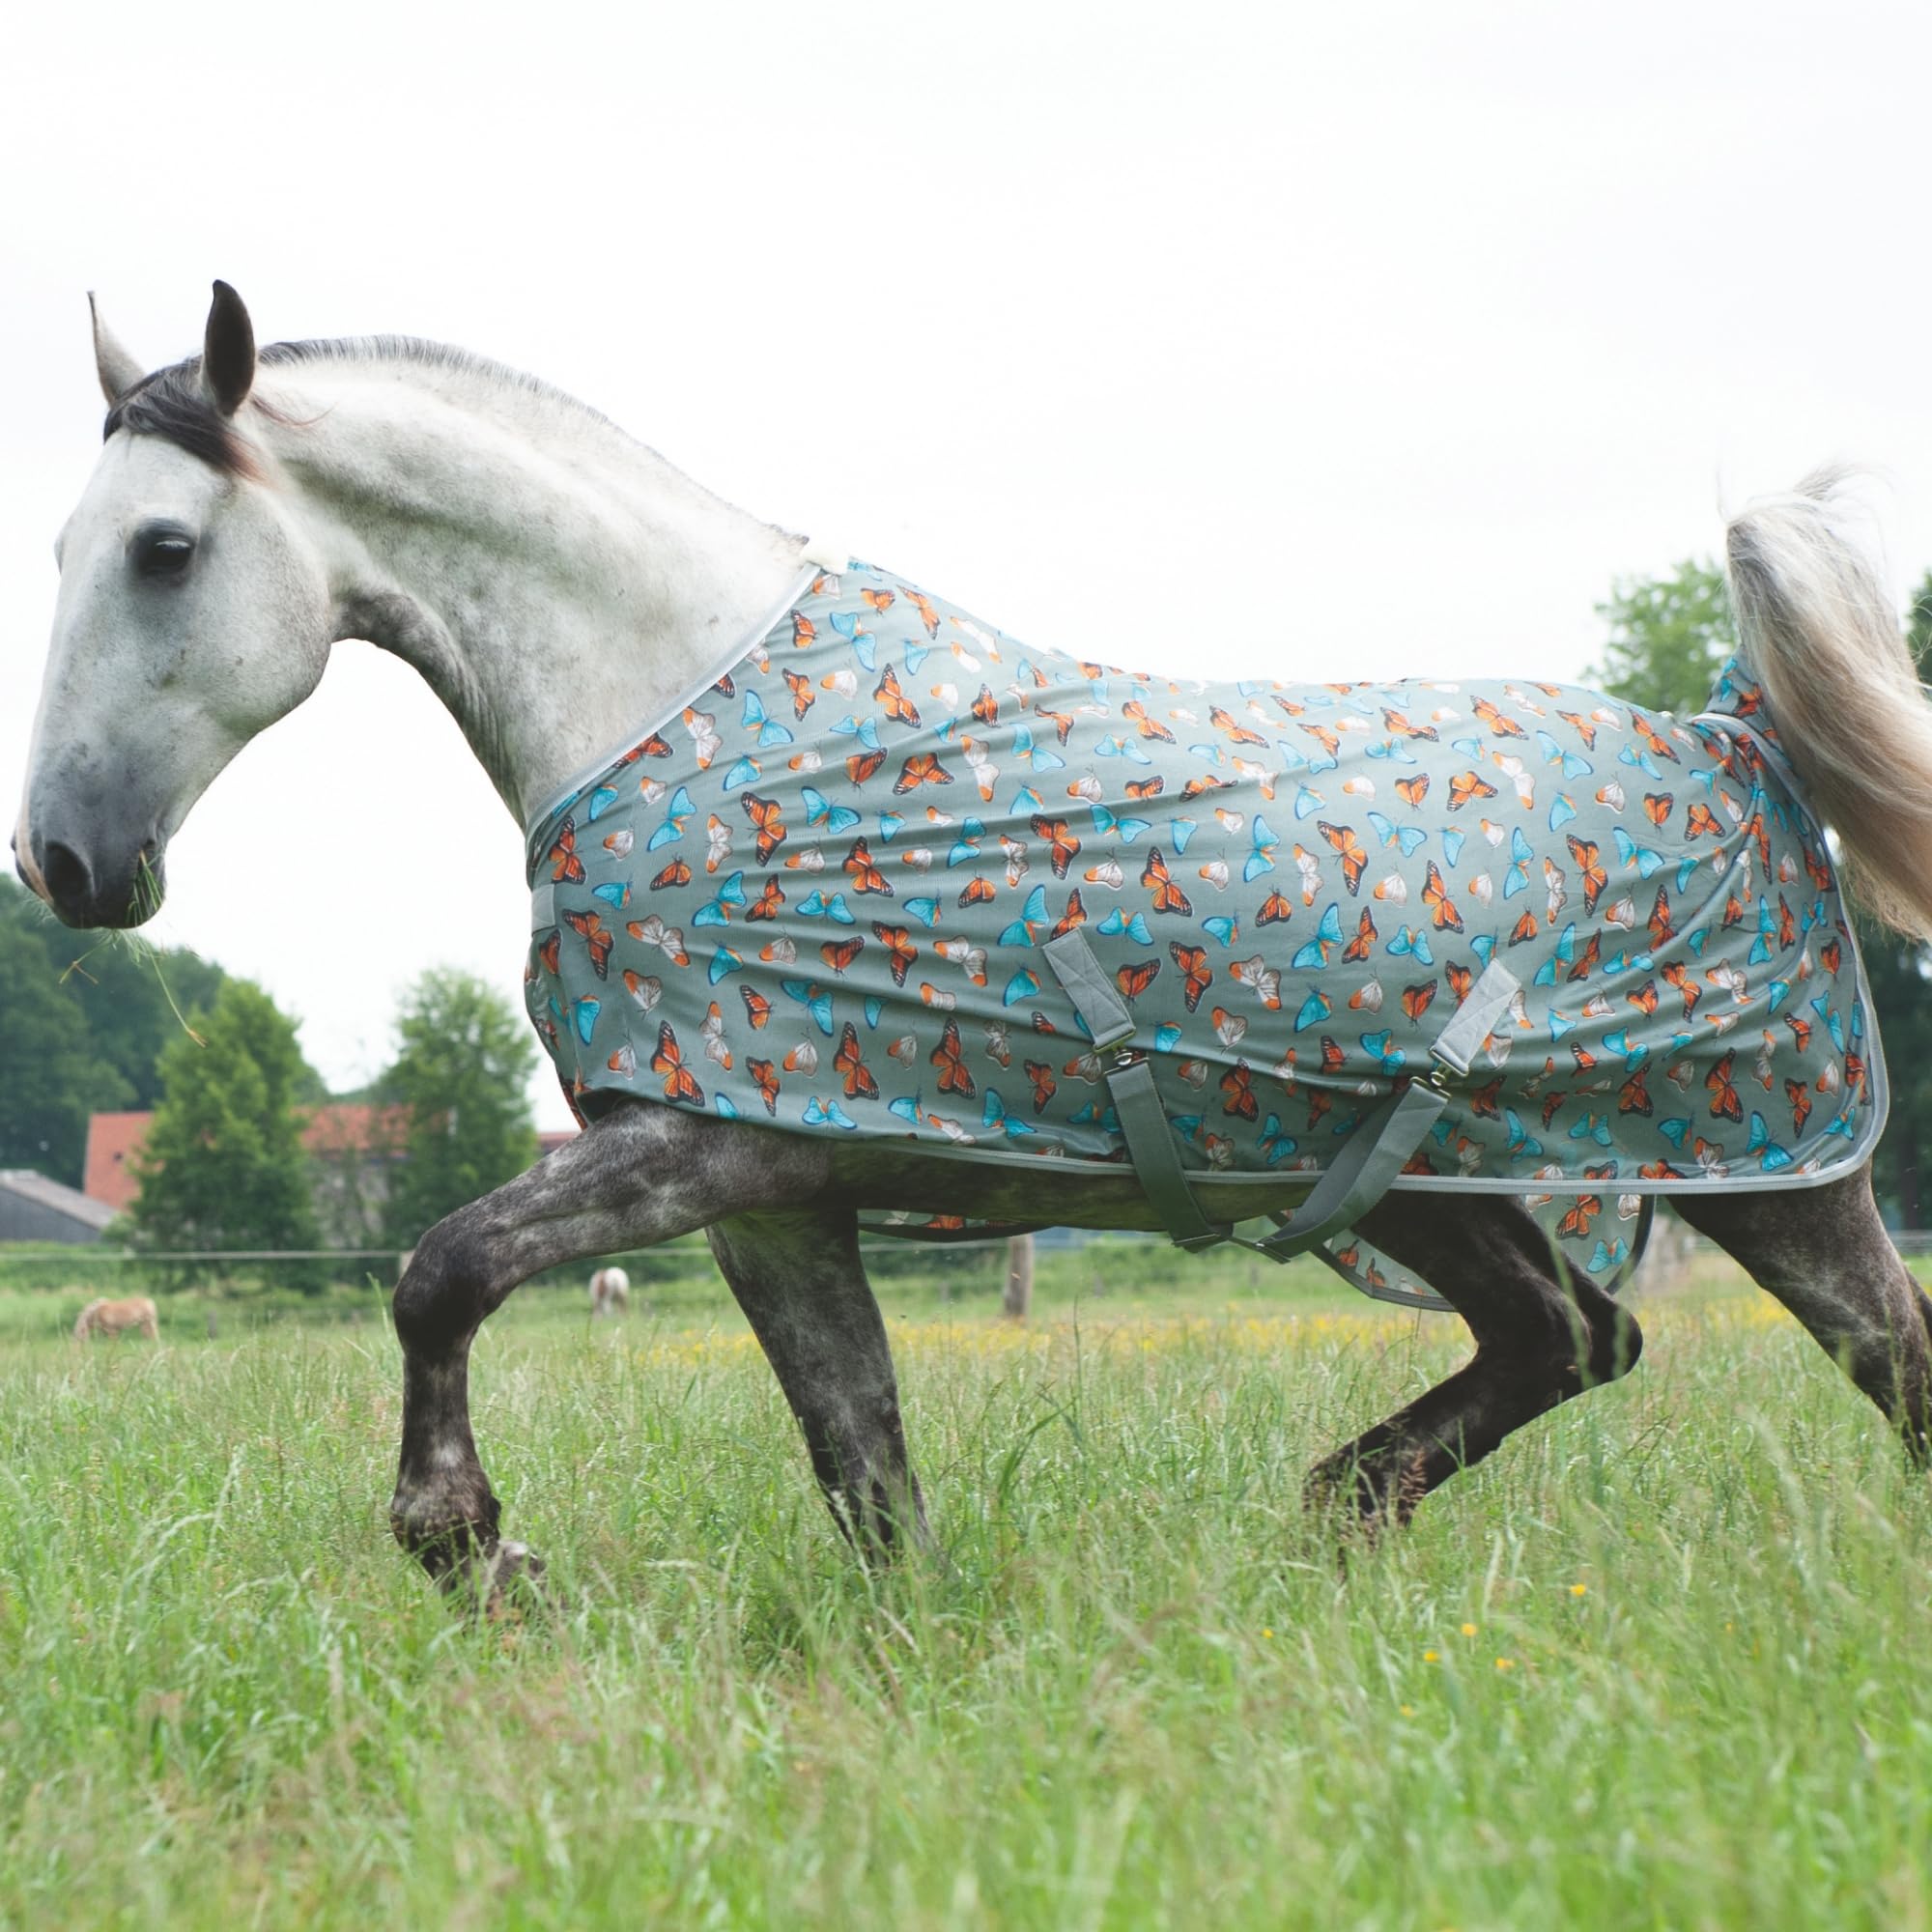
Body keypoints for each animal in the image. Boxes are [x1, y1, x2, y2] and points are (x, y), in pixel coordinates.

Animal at [14, 282, 1932, 1604]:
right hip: (1411, 1181)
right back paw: (1330, 1514)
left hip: (1774, 1171)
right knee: (1571, 1341)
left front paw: (468, 1545)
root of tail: (1731, 735)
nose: (67, 861)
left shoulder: (697, 1145)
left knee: (1878, 1369)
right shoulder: (775, 1195)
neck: (670, 708)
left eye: (164, 549)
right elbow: (866, 1474)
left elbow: (441, 1270)